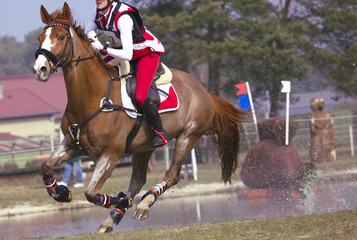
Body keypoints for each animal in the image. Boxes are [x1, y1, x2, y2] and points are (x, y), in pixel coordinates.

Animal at [33, 2, 243, 233]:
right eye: (40, 37)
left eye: (61, 37)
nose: (40, 69)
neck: (93, 97)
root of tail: (204, 91)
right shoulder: (73, 146)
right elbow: (46, 166)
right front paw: (60, 192)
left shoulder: (111, 153)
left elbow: (91, 192)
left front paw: (120, 200)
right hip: (144, 147)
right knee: (137, 181)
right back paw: (112, 219)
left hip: (189, 136)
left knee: (172, 175)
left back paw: (143, 204)